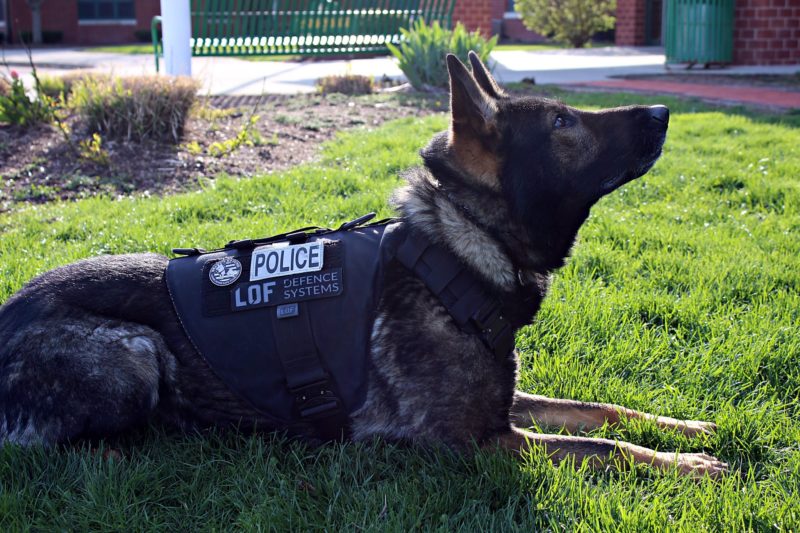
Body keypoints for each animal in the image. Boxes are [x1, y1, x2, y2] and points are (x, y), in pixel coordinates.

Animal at [0, 53, 724, 478]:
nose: (663, 111)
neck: (457, 250)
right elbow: (599, 446)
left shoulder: (507, 406)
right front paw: (688, 463)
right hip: (135, 352)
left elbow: (601, 410)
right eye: (563, 122)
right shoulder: (478, 441)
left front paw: (686, 430)